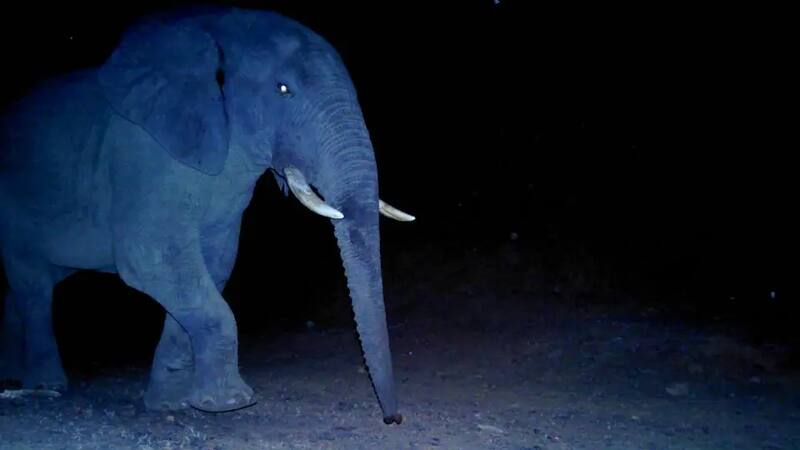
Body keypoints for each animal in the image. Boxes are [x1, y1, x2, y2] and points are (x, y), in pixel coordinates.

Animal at [0, 6, 412, 424]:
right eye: (283, 90)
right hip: (13, 208)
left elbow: (213, 264)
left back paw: (14, 379)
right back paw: (47, 386)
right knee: (34, 286)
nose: (391, 419)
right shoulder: (144, 158)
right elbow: (152, 261)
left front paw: (171, 403)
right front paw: (231, 403)